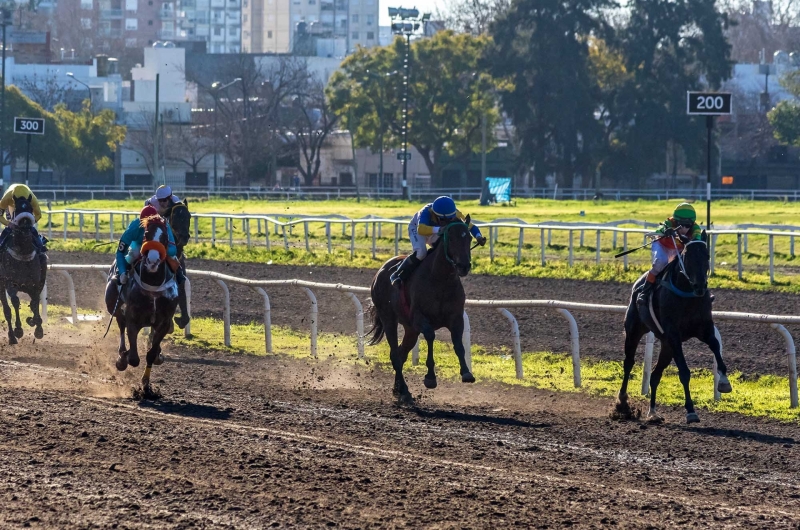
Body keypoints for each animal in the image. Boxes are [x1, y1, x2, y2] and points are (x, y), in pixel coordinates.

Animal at [0, 194, 47, 342]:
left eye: (31, 208)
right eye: (17, 209)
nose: (26, 225)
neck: (23, 253)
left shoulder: (35, 284)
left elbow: (35, 302)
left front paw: (37, 327)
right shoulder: (10, 283)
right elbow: (15, 302)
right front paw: (19, 329)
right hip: (1, 286)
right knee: (7, 309)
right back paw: (12, 336)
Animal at [105, 214, 179, 396]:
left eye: (165, 237)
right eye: (146, 234)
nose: (152, 261)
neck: (153, 287)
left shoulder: (164, 322)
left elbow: (151, 354)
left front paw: (146, 385)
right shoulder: (133, 320)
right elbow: (133, 358)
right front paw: (124, 358)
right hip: (113, 304)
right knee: (120, 322)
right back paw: (121, 356)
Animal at [368, 217, 476, 402]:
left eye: (468, 238)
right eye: (451, 238)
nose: (464, 266)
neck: (440, 280)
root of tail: (380, 272)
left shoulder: (456, 318)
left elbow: (458, 343)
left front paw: (466, 372)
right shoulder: (419, 318)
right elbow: (431, 336)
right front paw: (430, 377)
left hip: (410, 329)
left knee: (401, 354)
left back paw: (399, 389)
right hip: (389, 319)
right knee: (395, 354)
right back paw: (404, 390)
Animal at [620, 233, 732, 422]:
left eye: (707, 256)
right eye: (687, 257)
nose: (700, 287)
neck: (688, 295)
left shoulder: (704, 328)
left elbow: (716, 347)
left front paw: (724, 381)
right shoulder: (673, 335)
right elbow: (684, 372)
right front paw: (691, 410)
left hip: (666, 346)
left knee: (655, 375)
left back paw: (653, 412)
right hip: (634, 330)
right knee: (628, 362)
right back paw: (622, 402)